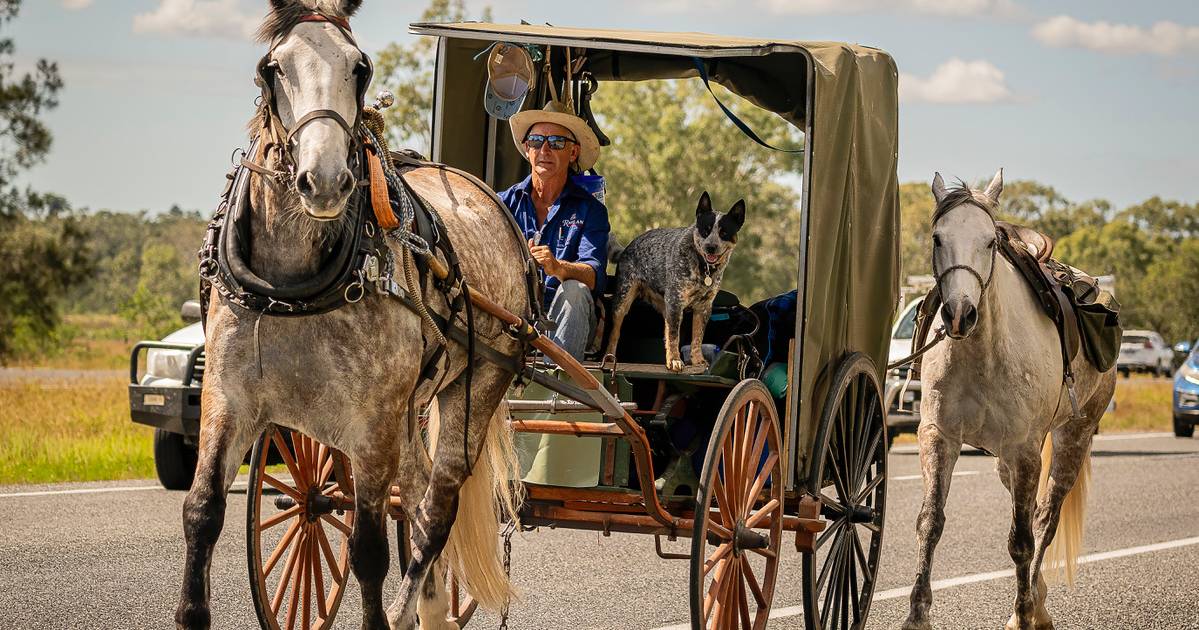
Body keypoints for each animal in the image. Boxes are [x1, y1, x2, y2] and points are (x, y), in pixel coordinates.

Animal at [604, 190, 743, 369]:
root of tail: (627, 247)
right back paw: (609, 357)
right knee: (615, 332)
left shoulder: (704, 307)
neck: (703, 267)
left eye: (724, 232)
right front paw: (675, 360)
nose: (710, 247)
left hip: (665, 306)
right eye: (705, 230)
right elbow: (674, 335)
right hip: (623, 300)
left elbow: (697, 337)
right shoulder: (676, 301)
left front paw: (697, 360)